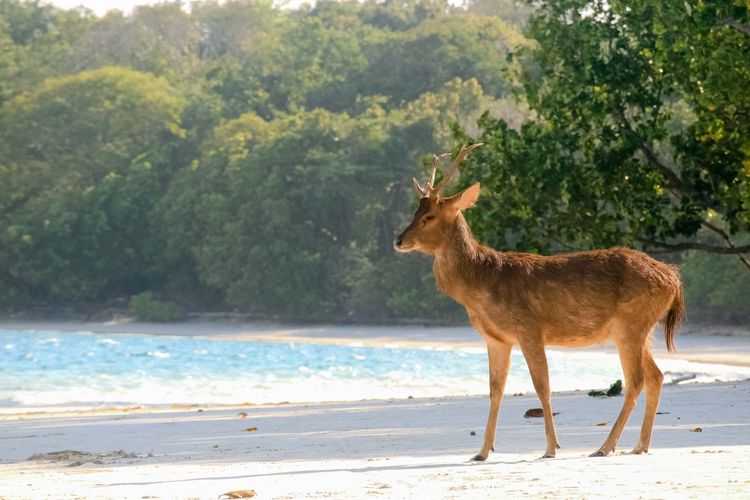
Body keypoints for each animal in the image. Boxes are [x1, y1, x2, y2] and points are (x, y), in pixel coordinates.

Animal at [394, 144, 688, 460]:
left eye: (429, 216)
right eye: (415, 211)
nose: (398, 241)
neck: (482, 285)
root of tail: (673, 277)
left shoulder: (529, 328)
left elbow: (542, 386)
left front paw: (551, 448)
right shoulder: (496, 339)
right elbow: (495, 390)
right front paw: (482, 451)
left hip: (632, 323)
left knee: (635, 381)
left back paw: (605, 446)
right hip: (644, 329)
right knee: (656, 376)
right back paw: (639, 445)